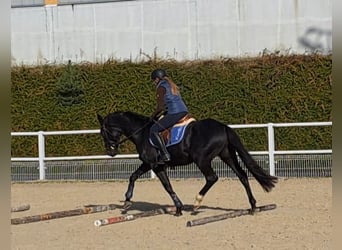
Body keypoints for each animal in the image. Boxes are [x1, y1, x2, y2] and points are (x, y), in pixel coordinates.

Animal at [97, 110, 278, 216]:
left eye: (103, 132)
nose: (111, 152)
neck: (142, 132)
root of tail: (222, 126)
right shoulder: (152, 165)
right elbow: (135, 177)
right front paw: (127, 201)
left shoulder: (154, 164)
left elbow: (165, 186)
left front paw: (178, 208)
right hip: (227, 156)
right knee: (242, 176)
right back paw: (253, 206)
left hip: (202, 159)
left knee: (212, 178)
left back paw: (197, 203)